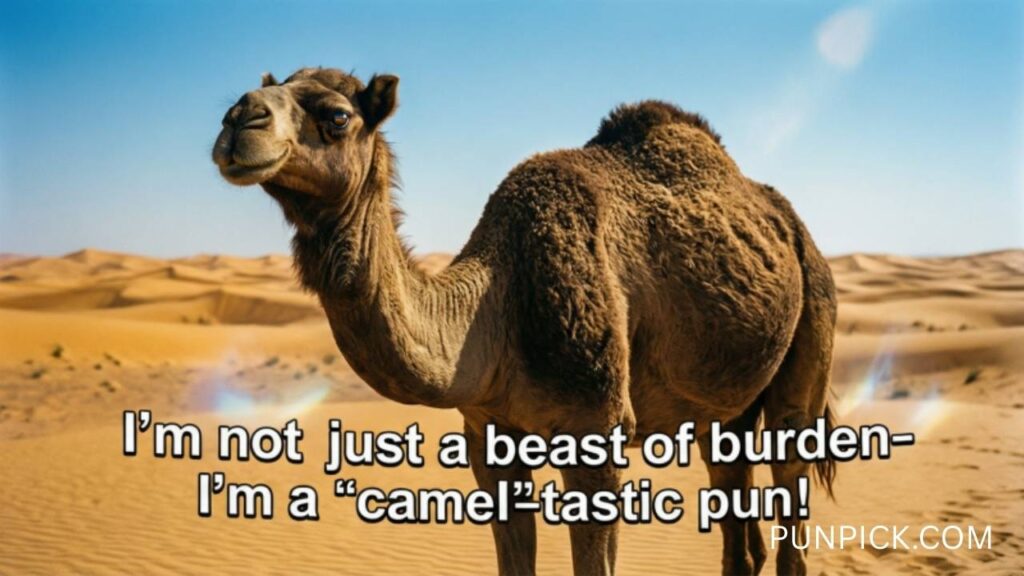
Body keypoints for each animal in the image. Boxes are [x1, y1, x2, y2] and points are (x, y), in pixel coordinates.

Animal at [213, 67, 837, 576]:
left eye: (337, 117)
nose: (240, 116)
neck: (496, 308)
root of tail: (794, 226)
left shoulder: (598, 431)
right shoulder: (489, 437)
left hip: (814, 317)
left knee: (791, 475)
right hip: (722, 402)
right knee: (733, 494)